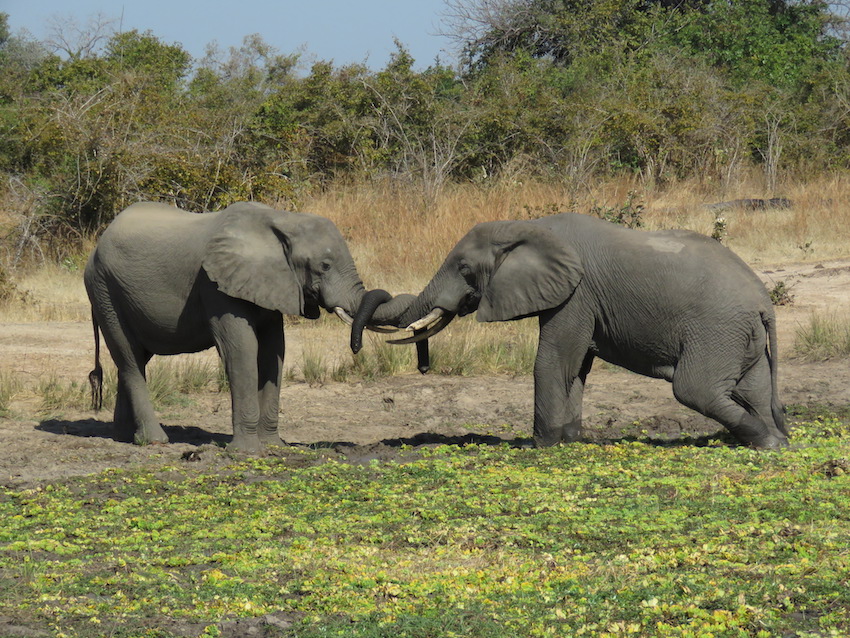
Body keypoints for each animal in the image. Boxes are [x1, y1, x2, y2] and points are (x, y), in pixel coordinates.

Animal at [84, 202, 410, 452]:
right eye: (325, 266)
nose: (356, 346)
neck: (282, 220)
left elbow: (274, 351)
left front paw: (274, 447)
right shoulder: (215, 285)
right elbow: (242, 349)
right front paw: (248, 453)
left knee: (135, 358)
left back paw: (125, 437)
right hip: (104, 290)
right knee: (129, 358)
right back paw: (154, 441)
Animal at [380, 214, 784, 450]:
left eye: (464, 269)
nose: (424, 366)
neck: (529, 225)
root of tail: (764, 302)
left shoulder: (577, 294)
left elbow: (553, 363)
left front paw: (540, 447)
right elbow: (576, 369)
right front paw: (569, 439)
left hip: (717, 331)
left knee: (693, 389)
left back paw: (766, 441)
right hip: (738, 336)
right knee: (754, 389)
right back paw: (777, 441)